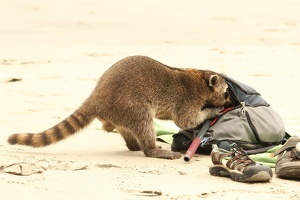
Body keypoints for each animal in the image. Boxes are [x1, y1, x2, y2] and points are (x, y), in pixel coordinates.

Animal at [7, 55, 232, 159]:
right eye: (226, 93)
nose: (230, 101)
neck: (201, 79)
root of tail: (96, 95)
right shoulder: (187, 99)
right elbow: (186, 120)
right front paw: (211, 111)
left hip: (119, 111)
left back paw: (131, 142)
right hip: (130, 103)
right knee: (144, 123)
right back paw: (150, 148)